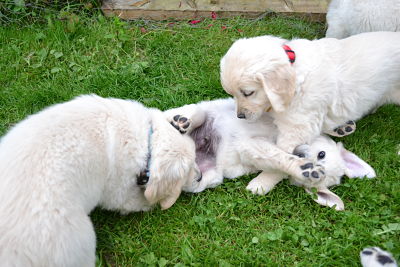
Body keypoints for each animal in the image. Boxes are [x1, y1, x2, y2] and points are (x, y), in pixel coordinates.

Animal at [0, 95, 200, 267]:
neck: (147, 141)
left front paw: (180, 119)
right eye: (188, 170)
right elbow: (140, 202)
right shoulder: (119, 193)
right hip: (82, 240)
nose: (199, 177)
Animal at [164, 98, 376, 211]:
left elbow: (276, 163)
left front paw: (259, 185)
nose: (300, 154)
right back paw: (181, 123)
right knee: (189, 114)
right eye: (321, 154)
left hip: (209, 177)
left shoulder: (251, 148)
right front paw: (341, 128)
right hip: (202, 111)